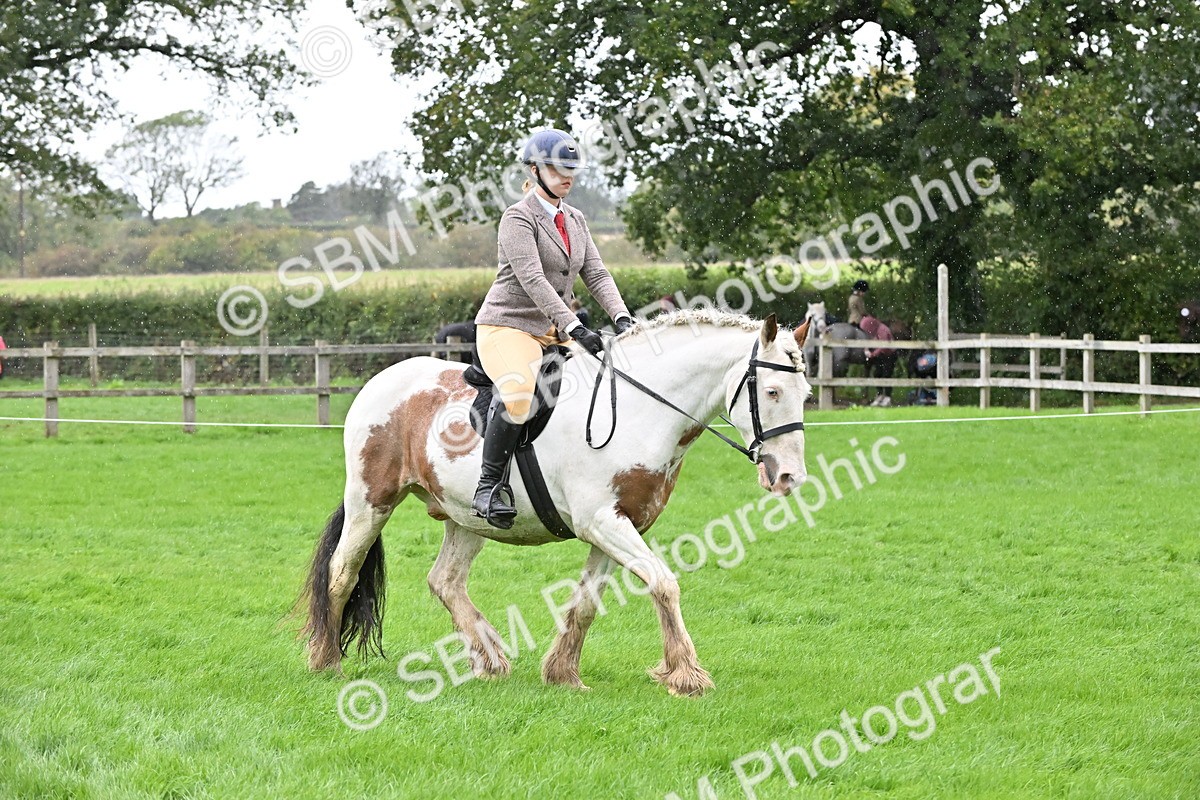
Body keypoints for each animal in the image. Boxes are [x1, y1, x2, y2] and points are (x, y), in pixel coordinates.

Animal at [299, 309, 813, 697]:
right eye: (771, 392)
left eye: (806, 394)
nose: (790, 476)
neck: (638, 408)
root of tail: (380, 381)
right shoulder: (602, 521)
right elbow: (664, 583)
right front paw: (686, 675)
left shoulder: (618, 525)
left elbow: (586, 602)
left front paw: (563, 673)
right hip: (372, 502)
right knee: (342, 572)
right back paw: (326, 662)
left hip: (465, 517)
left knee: (445, 581)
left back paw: (490, 657)